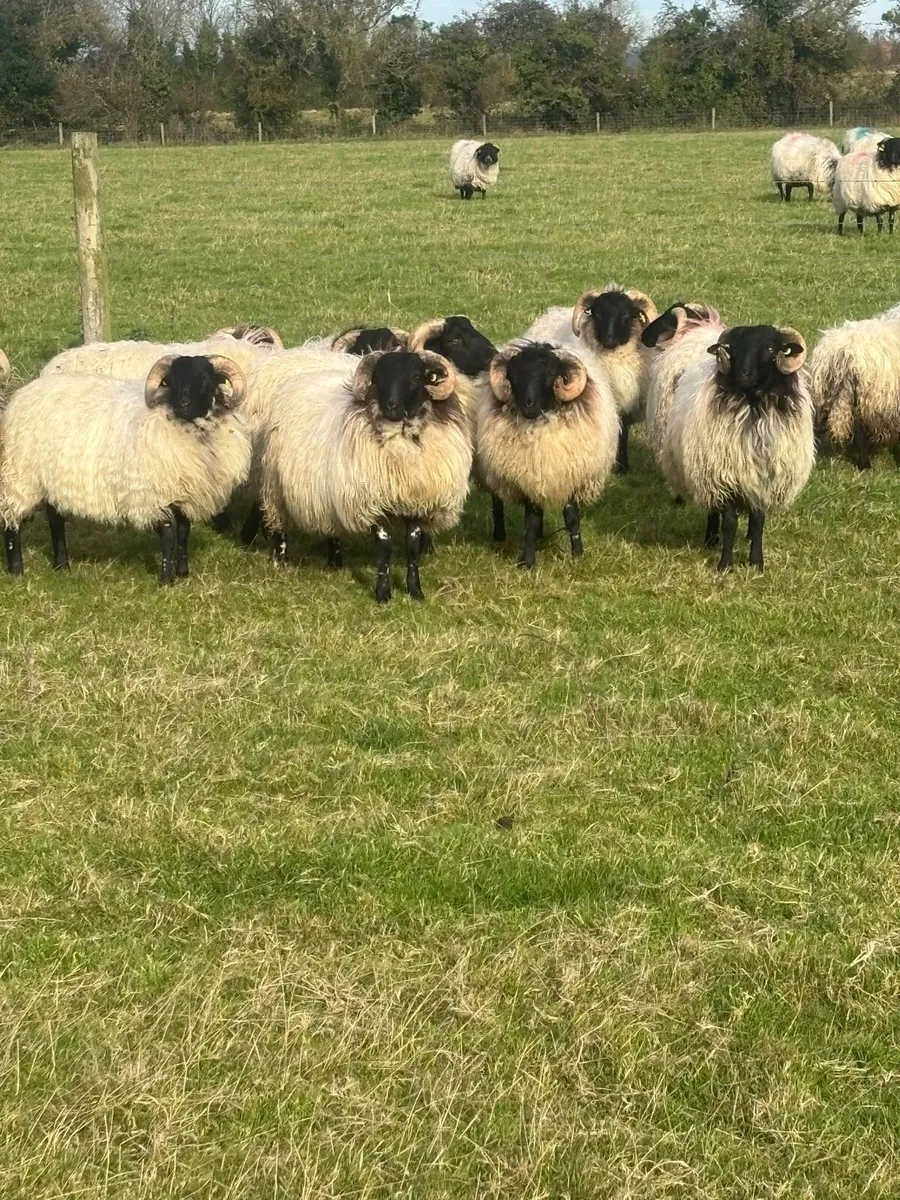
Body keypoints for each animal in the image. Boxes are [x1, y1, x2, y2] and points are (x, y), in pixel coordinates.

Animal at [0, 354, 251, 584]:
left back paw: (62, 565)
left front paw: (183, 572)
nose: (183, 405)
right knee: (11, 522)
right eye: (171, 381)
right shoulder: (156, 494)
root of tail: (23, 394)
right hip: (20, 475)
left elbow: (183, 534)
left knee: (55, 521)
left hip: (52, 479)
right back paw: (16, 571)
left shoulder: (184, 492)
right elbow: (167, 537)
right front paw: (166, 579)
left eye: (206, 379)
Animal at [256, 349, 472, 602]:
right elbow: (385, 547)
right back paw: (280, 562)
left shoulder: (418, 501)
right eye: (378, 377)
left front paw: (415, 590)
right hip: (274, 484)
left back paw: (335, 562)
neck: (402, 440)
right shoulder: (371, 501)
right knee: (278, 525)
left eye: (417, 377)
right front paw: (383, 593)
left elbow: (412, 546)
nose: (391, 407)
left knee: (331, 528)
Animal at [477, 341, 620, 569]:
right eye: (513, 375)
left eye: (551, 375)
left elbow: (571, 517)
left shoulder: (571, 477)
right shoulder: (528, 482)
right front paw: (527, 562)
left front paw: (577, 555)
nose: (528, 405)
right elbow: (531, 522)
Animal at [522, 284, 657, 472]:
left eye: (626, 316)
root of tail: (549, 314)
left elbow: (623, 432)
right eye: (598, 314)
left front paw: (623, 467)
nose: (608, 338)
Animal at [661, 325, 814, 572]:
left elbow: (759, 520)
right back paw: (711, 538)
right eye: (732, 349)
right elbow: (730, 523)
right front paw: (725, 564)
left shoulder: (763, 478)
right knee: (713, 509)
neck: (753, 407)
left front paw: (756, 561)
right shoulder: (724, 477)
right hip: (706, 472)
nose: (744, 375)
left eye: (770, 349)